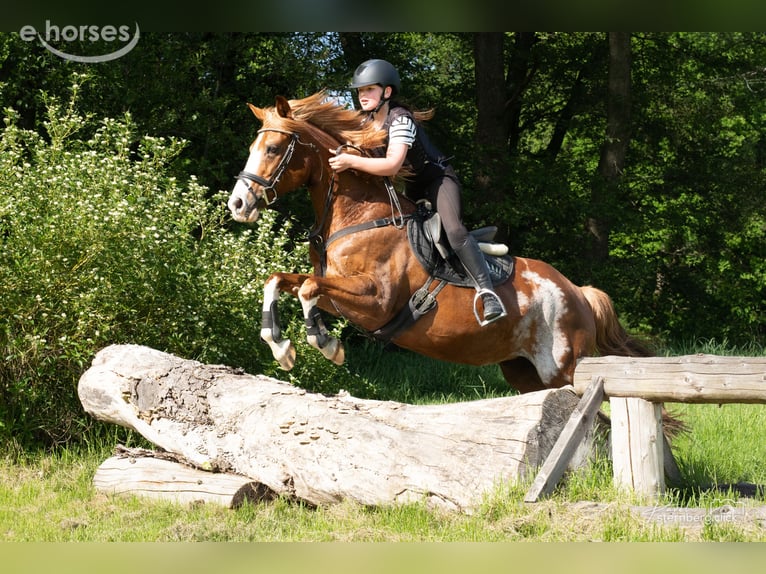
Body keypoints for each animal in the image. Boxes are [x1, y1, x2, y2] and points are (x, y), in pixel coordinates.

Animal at [227, 91, 651, 395]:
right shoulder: (343, 294)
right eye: (251, 148)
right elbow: (281, 281)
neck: (358, 216)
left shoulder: (375, 302)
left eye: (273, 149)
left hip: (565, 368)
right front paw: (282, 346)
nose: (238, 204)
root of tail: (579, 292)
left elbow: (308, 289)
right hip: (525, 373)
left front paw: (325, 343)